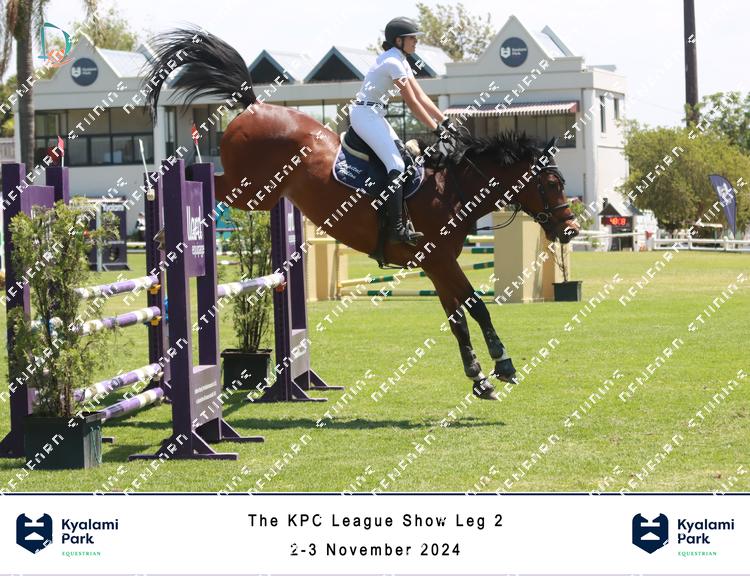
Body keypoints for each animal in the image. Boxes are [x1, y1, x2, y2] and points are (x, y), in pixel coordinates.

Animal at [143, 28, 580, 399]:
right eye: (551, 184)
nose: (572, 229)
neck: (454, 187)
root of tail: (254, 105)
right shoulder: (440, 260)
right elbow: (477, 306)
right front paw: (503, 365)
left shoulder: (437, 265)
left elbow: (457, 317)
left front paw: (478, 377)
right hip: (249, 189)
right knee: (197, 177)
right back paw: (164, 222)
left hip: (262, 196)